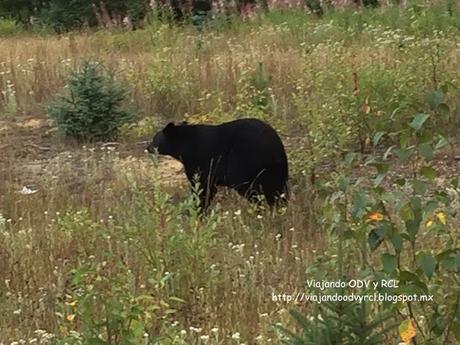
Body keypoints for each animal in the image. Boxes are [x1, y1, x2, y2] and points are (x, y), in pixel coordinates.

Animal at [147, 118, 288, 208]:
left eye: (154, 139)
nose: (148, 147)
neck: (184, 145)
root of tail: (274, 147)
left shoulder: (199, 160)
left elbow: (202, 187)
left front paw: (199, 210)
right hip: (277, 168)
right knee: (278, 190)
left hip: (244, 161)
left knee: (250, 189)